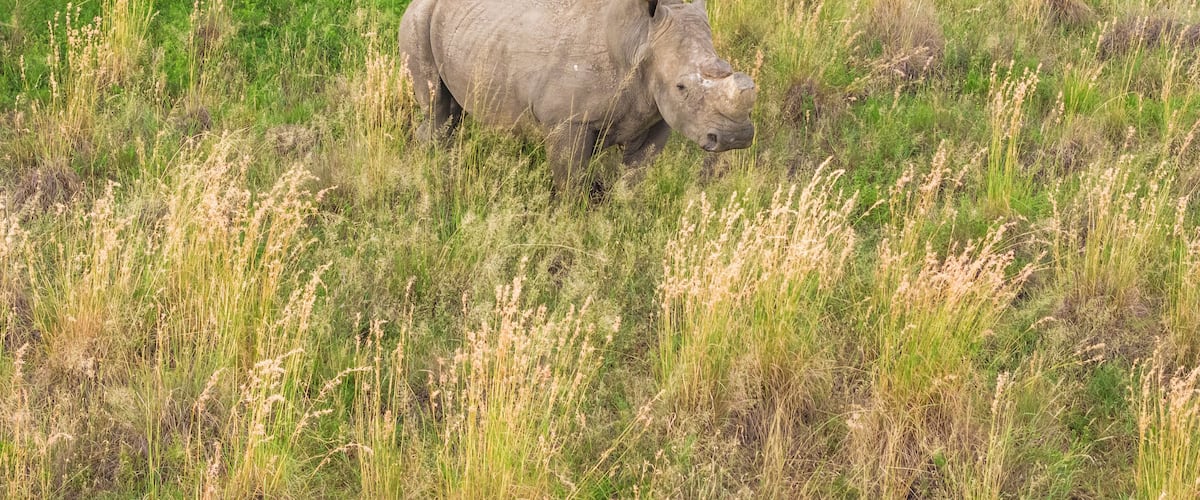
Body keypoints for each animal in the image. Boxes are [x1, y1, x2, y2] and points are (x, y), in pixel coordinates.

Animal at [399, 0, 756, 192]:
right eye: (682, 87)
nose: (736, 136)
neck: (640, 38)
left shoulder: (658, 116)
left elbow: (636, 174)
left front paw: (624, 212)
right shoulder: (567, 120)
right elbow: (571, 181)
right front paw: (575, 222)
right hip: (418, 17)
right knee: (438, 106)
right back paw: (436, 166)